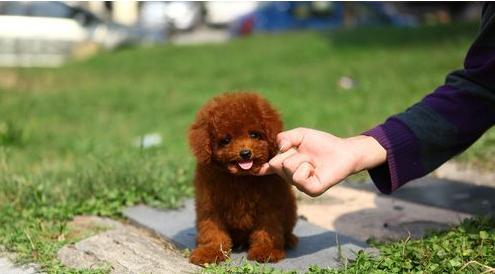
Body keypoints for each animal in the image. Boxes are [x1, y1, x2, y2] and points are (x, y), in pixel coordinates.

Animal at [189, 92, 298, 266]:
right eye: (226, 140)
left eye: (254, 135)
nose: (245, 153)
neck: (241, 177)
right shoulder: (210, 205)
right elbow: (212, 230)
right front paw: (210, 252)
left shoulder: (269, 204)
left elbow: (268, 228)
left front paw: (266, 251)